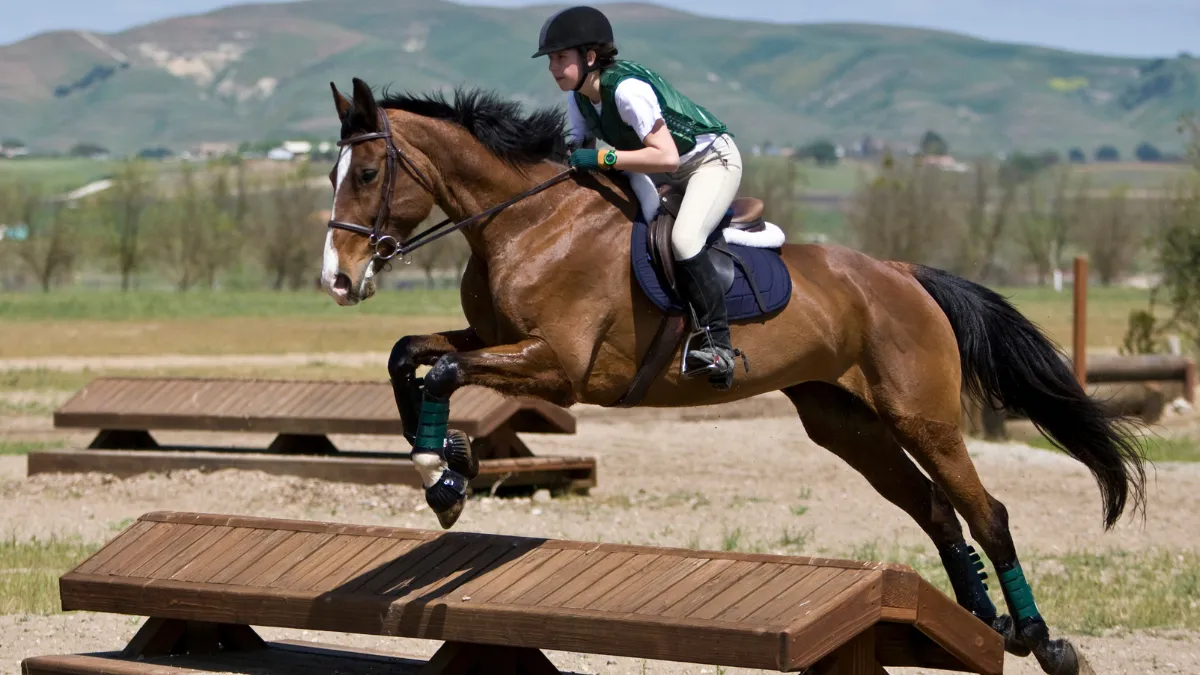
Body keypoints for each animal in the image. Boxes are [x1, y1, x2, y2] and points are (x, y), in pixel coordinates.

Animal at [321, 76, 1142, 667]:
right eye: (335, 171)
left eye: (367, 171)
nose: (338, 278)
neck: (526, 223)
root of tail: (903, 273)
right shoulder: (496, 340)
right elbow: (411, 354)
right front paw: (441, 466)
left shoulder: (560, 366)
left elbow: (442, 371)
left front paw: (448, 474)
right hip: (846, 423)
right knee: (937, 511)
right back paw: (982, 622)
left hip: (923, 414)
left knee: (987, 513)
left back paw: (1042, 640)